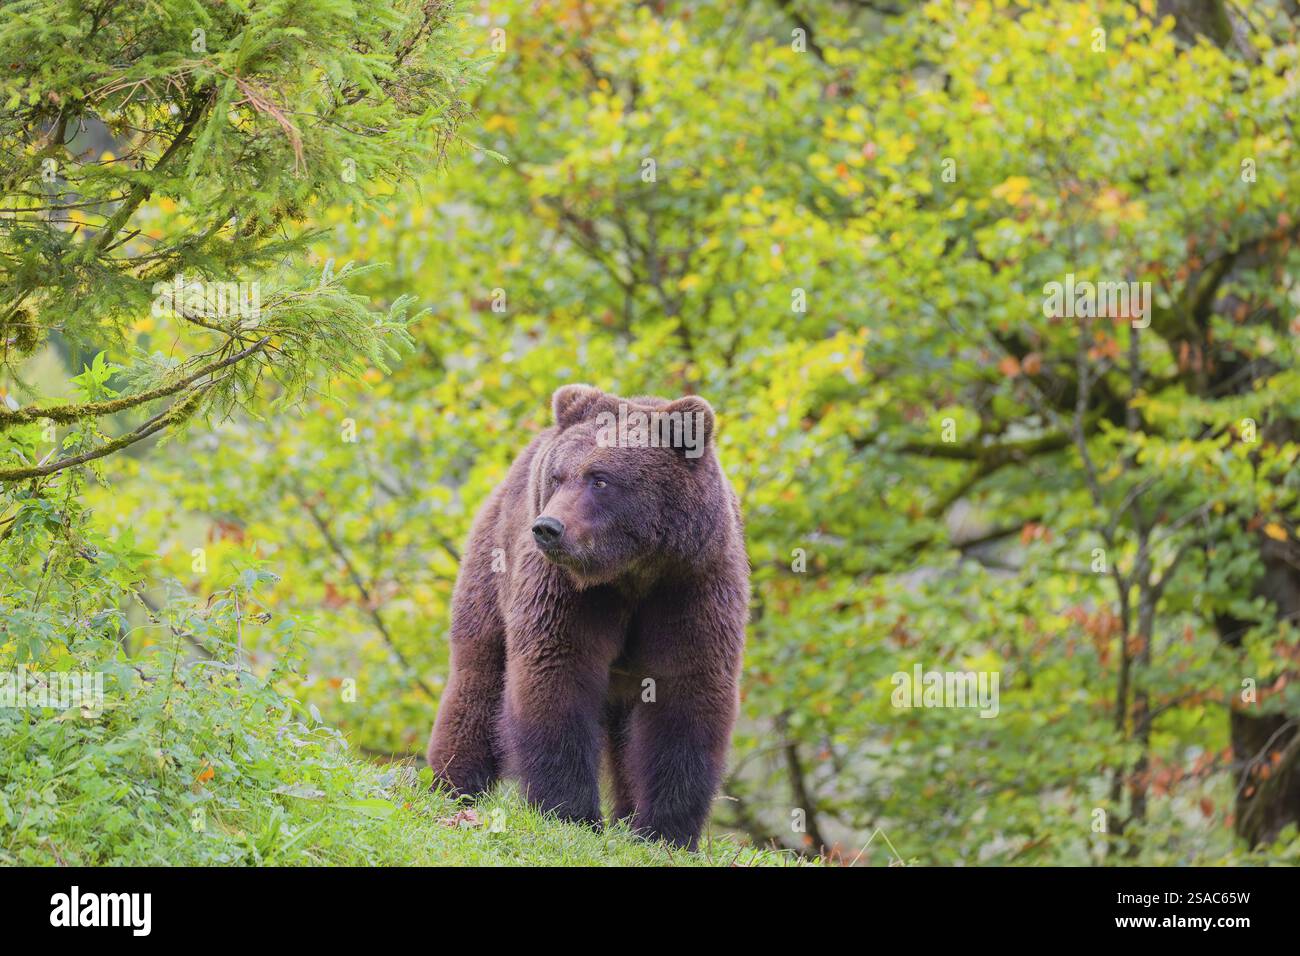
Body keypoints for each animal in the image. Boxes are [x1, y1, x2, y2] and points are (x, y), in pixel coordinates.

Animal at [426, 384, 749, 849]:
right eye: (558, 476)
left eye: (600, 478)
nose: (548, 527)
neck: (633, 571)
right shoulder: (567, 591)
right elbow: (558, 670)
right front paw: (570, 812)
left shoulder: (690, 586)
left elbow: (686, 692)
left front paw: (665, 830)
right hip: (491, 567)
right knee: (478, 676)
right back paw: (453, 783)